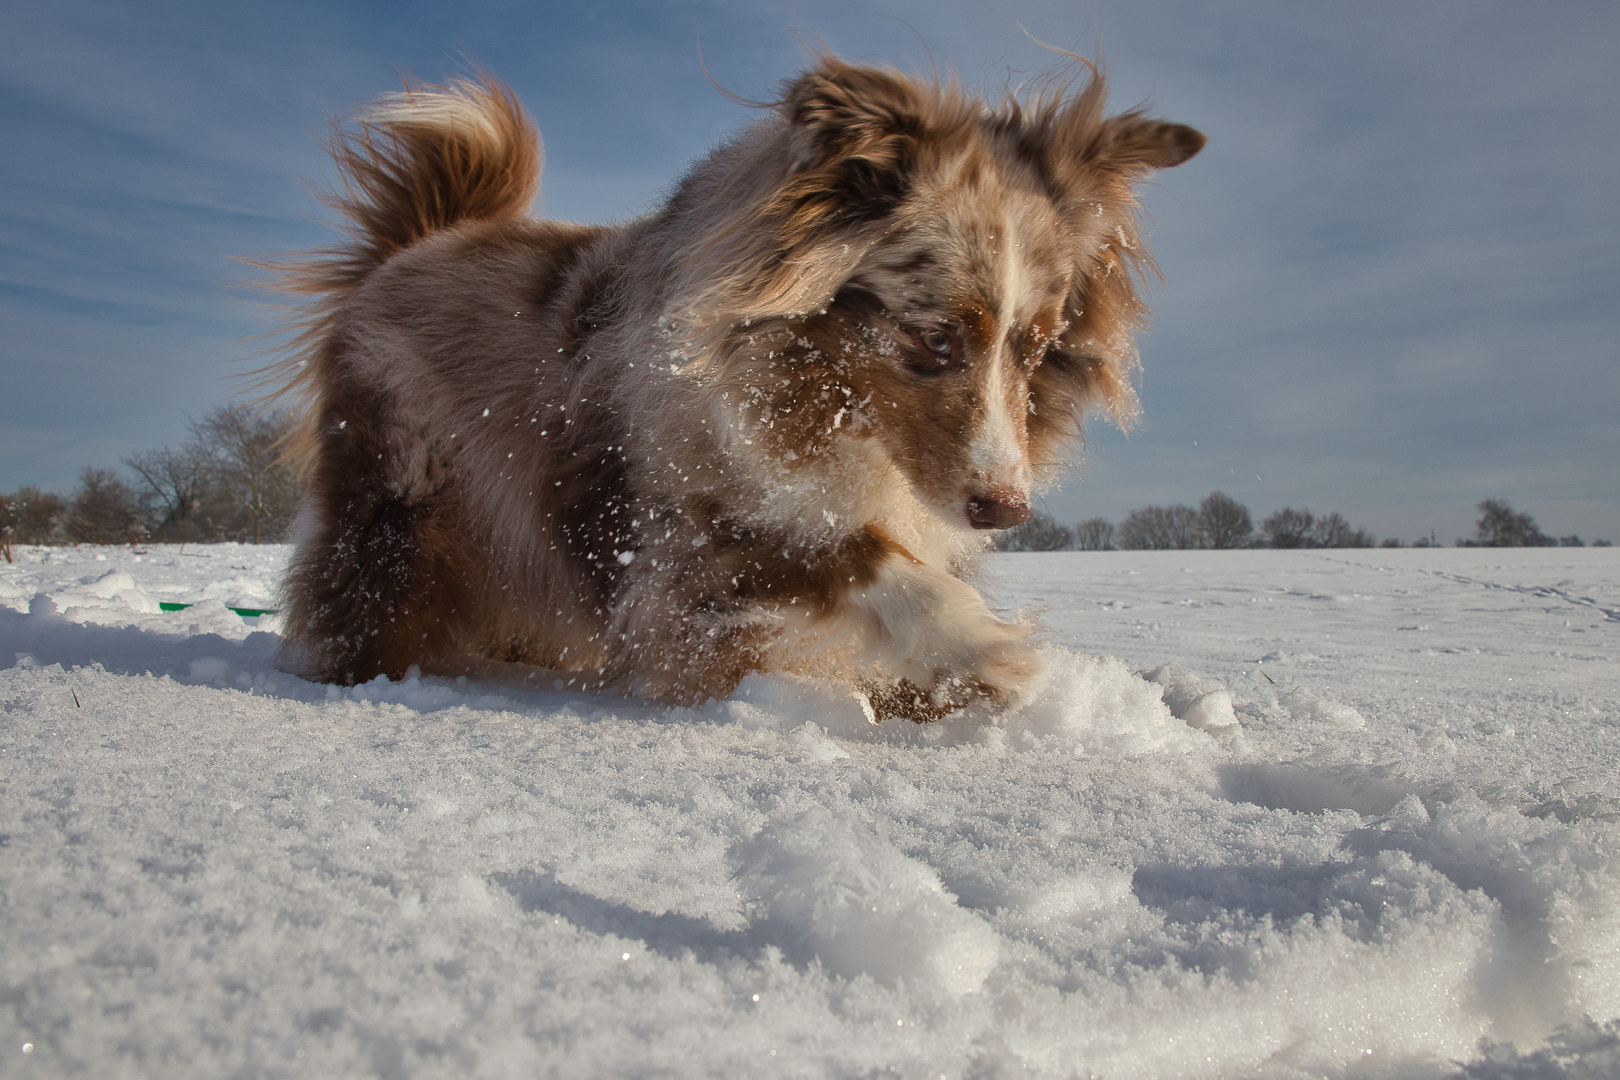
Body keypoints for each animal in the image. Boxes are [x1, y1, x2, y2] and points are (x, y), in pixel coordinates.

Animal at [265, 57, 1205, 718]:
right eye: (935, 337)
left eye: (1034, 347)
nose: (1004, 510)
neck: (830, 412)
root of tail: (415, 246)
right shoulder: (671, 539)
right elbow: (848, 552)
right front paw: (985, 646)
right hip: (401, 497)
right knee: (359, 592)